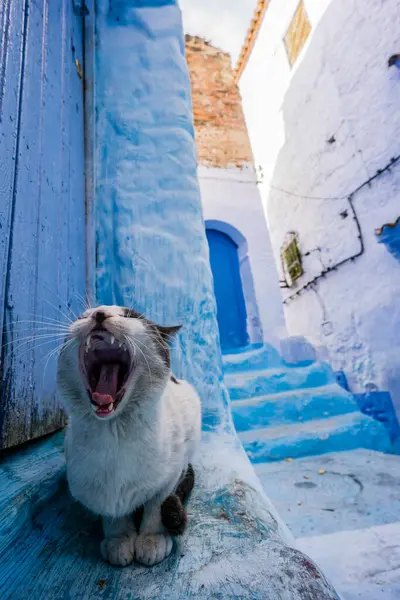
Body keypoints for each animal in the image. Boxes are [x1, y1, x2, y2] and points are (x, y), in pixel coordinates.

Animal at [57, 304, 200, 568]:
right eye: (83, 316)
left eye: (129, 316)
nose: (99, 313)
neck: (113, 436)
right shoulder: (96, 490)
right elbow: (112, 513)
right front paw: (119, 538)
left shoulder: (171, 474)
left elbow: (155, 505)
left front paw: (152, 539)